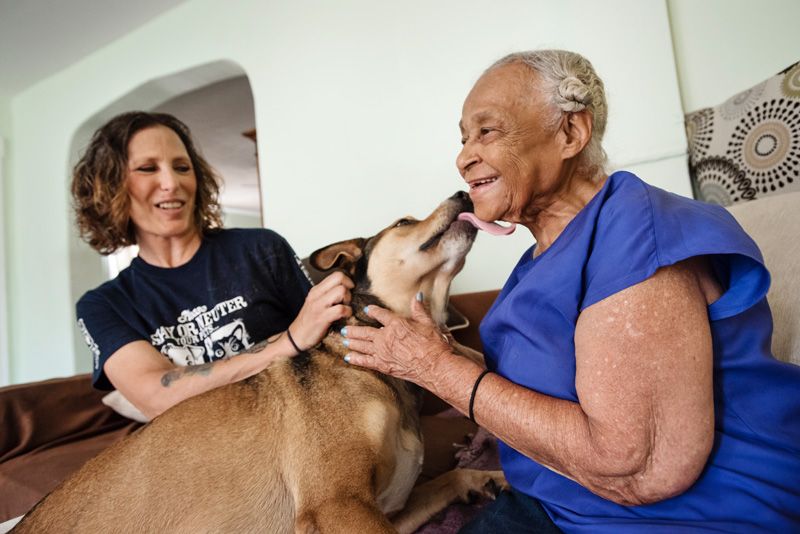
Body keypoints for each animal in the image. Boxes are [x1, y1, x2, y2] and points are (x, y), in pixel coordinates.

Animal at [14, 193, 506, 534]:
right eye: (404, 222)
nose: (464, 194)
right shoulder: (337, 504)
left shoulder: (384, 510)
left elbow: (449, 476)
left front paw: (489, 478)